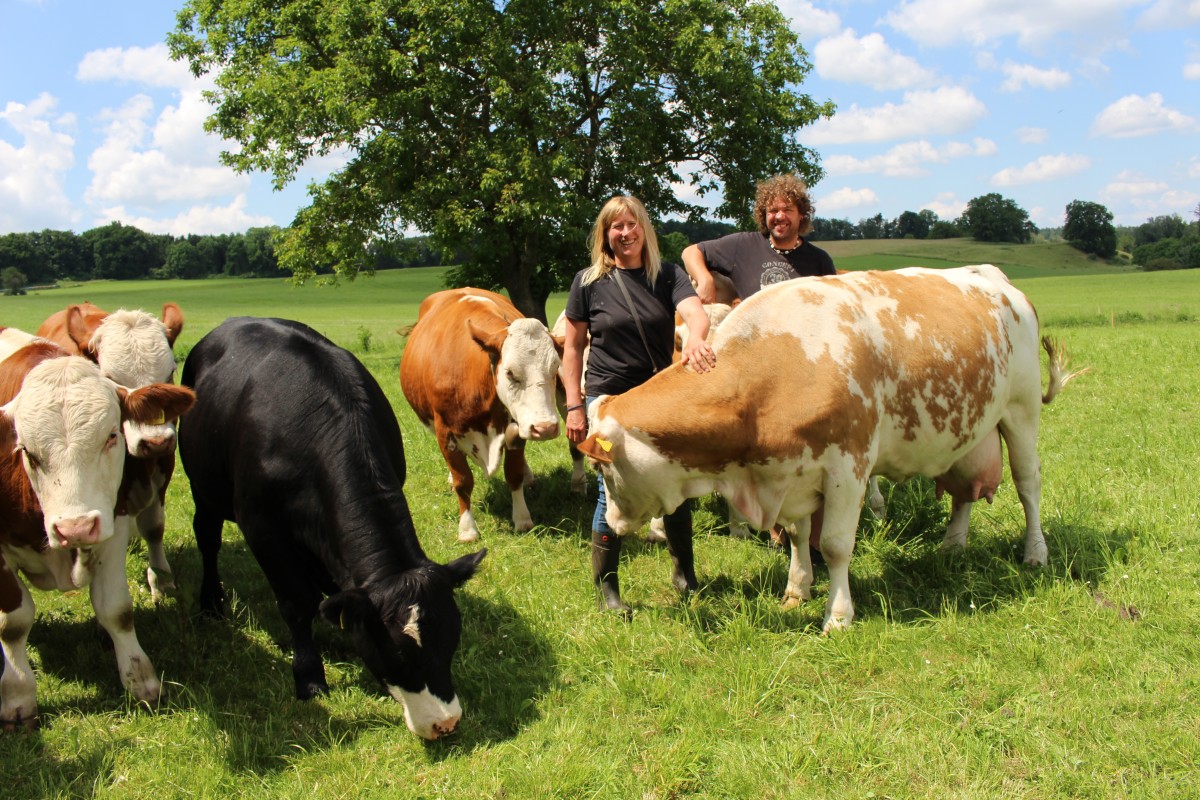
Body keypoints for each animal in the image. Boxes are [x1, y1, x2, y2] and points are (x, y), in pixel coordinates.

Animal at [0, 340, 194, 734]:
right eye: (27, 451)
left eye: (111, 436)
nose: (75, 528)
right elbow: (14, 623)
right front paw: (17, 697)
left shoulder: (112, 525)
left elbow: (116, 609)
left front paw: (142, 680)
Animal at [35, 303, 183, 597]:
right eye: (111, 378)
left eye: (170, 372)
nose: (155, 441)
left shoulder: (164, 465)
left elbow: (154, 526)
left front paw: (161, 579)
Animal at [176, 316, 482, 743]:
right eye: (397, 652)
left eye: (451, 637)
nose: (445, 723)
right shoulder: (263, 529)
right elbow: (296, 603)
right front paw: (309, 676)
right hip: (202, 486)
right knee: (207, 538)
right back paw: (211, 602)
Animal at [400, 287, 564, 544]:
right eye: (510, 373)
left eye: (555, 368)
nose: (545, 427)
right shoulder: (445, 432)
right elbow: (463, 481)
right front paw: (467, 529)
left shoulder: (515, 428)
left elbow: (514, 474)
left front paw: (522, 518)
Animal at [576, 267, 1084, 633]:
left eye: (605, 470)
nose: (612, 524)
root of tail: (998, 280)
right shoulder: (793, 469)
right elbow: (799, 535)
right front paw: (797, 589)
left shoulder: (848, 466)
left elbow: (837, 545)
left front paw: (838, 615)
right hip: (968, 431)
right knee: (963, 492)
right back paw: (952, 546)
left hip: (1021, 412)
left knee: (1028, 485)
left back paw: (1035, 552)